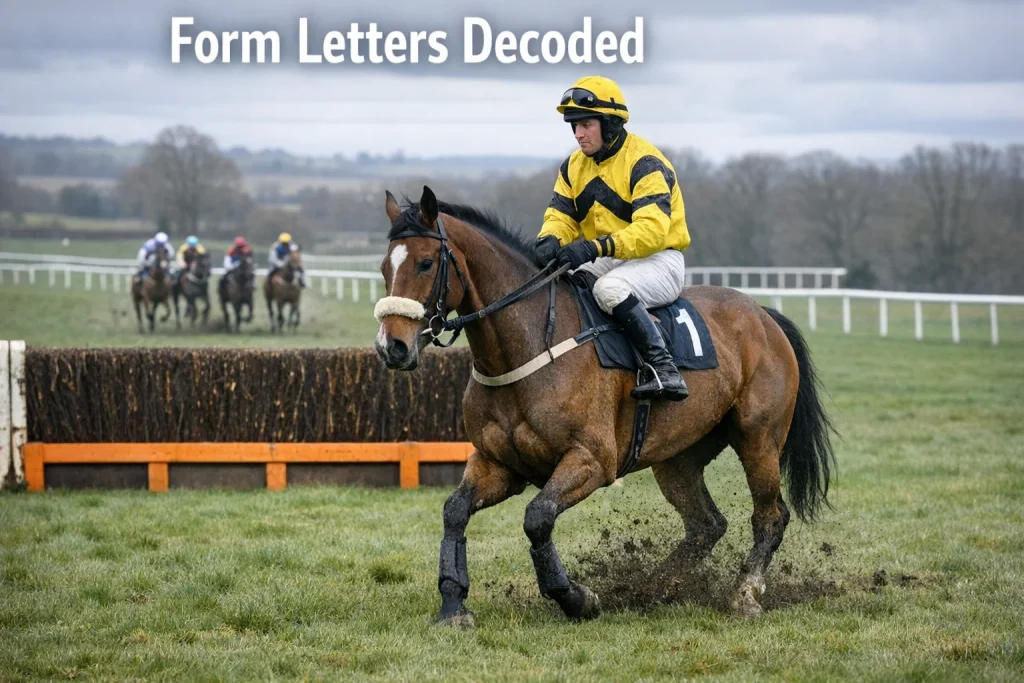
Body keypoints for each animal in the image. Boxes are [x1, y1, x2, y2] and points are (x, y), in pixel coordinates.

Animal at [374, 186, 837, 628]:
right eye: (384, 268)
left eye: (426, 263)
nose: (391, 347)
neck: (528, 346)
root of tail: (764, 314)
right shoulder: (497, 464)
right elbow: (454, 511)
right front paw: (453, 605)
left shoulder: (592, 460)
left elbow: (537, 517)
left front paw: (576, 597)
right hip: (678, 457)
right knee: (706, 525)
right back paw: (654, 586)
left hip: (759, 439)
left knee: (770, 516)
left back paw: (745, 593)